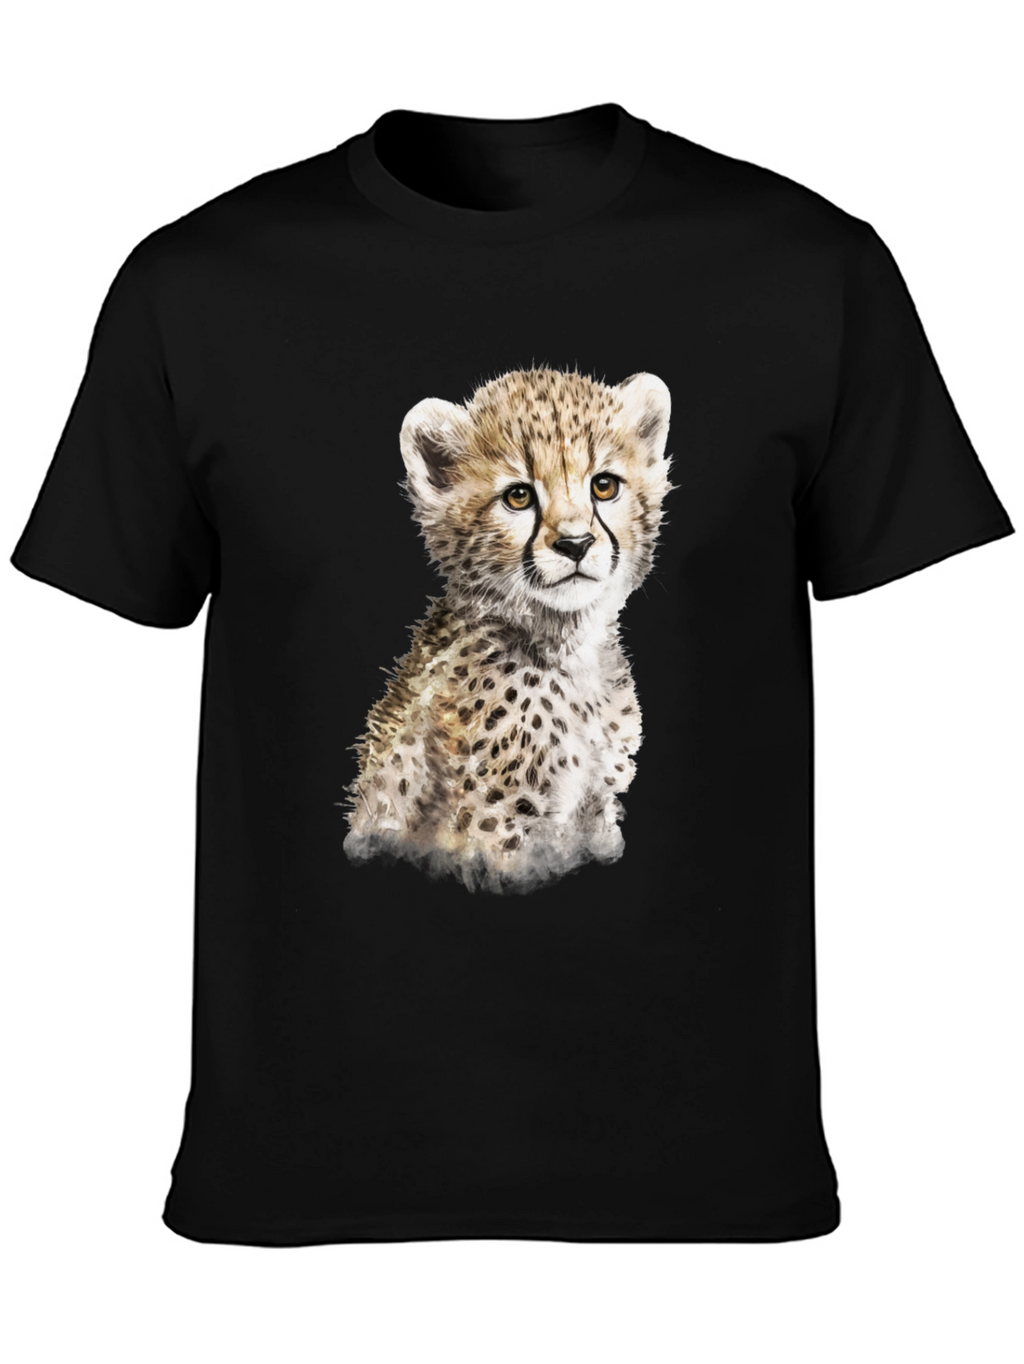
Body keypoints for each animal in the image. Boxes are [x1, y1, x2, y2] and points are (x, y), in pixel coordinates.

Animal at [343, 367, 673, 889]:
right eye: (518, 496)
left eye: (604, 486)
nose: (576, 543)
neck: (566, 648)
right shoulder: (494, 827)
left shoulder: (599, 811)